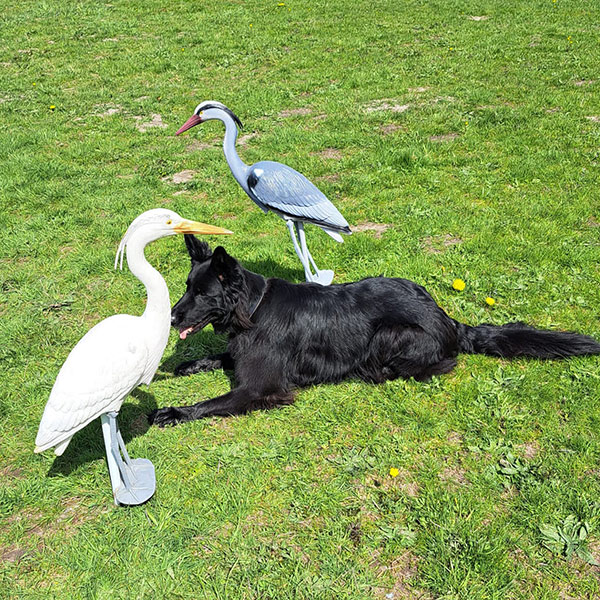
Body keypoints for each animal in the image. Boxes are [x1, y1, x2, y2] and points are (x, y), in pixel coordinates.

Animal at [146, 234, 600, 426]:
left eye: (202, 293)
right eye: (186, 286)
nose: (171, 318)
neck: (254, 308)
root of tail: (448, 318)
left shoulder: (261, 388)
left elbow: (212, 402)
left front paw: (175, 411)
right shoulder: (242, 353)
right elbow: (221, 355)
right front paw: (188, 365)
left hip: (390, 334)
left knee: (434, 366)